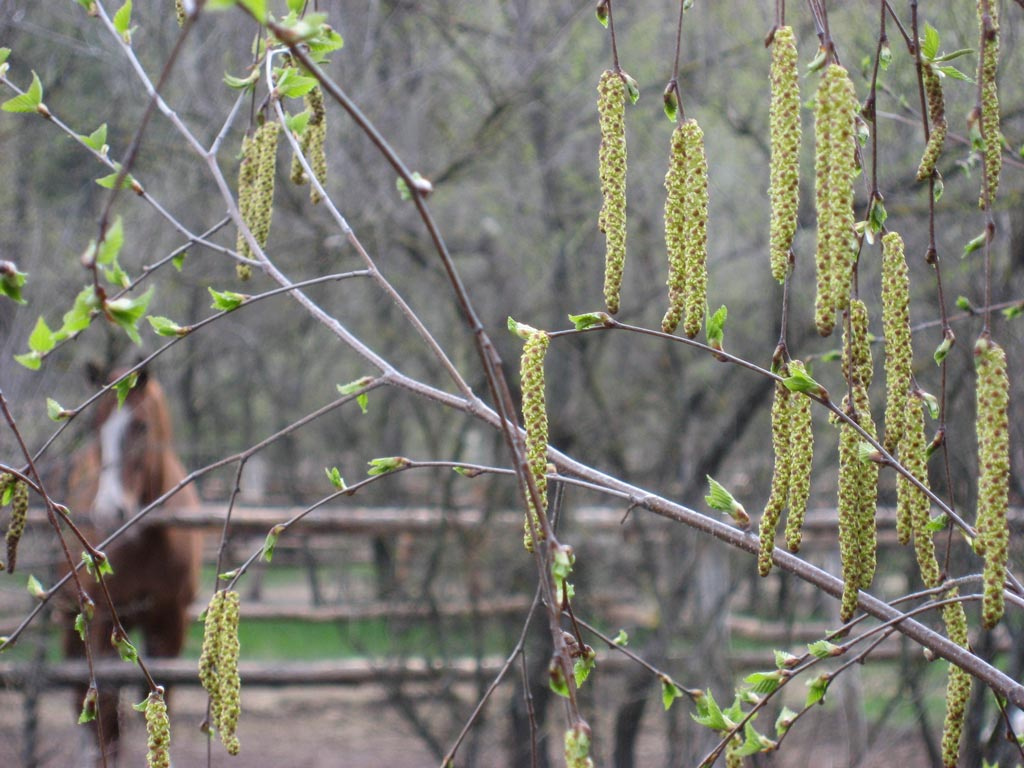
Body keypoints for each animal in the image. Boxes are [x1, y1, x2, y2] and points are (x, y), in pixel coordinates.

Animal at [61, 367, 203, 766]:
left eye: (140, 425)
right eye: (96, 426)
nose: (110, 510)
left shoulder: (170, 623)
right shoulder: (102, 623)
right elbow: (106, 706)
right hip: (70, 619)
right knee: (82, 695)